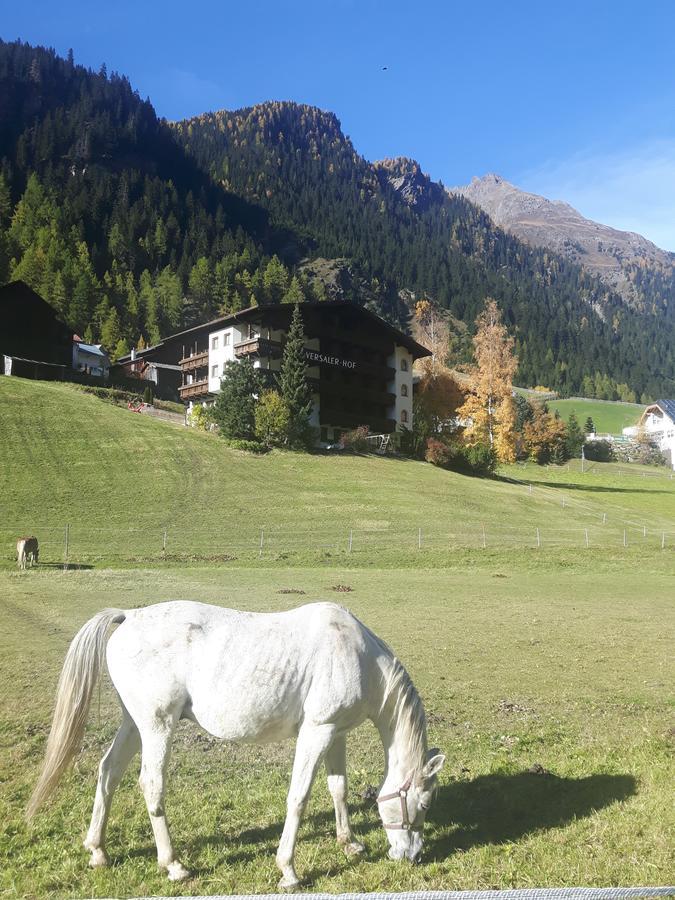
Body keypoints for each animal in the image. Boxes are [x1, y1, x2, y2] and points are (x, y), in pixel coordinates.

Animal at [29, 600, 446, 888]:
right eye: (424, 803)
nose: (412, 855)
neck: (358, 656)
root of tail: (129, 616)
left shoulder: (335, 733)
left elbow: (338, 789)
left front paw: (350, 844)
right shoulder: (317, 732)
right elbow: (299, 798)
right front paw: (288, 871)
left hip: (134, 725)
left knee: (108, 773)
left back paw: (98, 850)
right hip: (157, 726)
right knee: (151, 784)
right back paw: (173, 865)